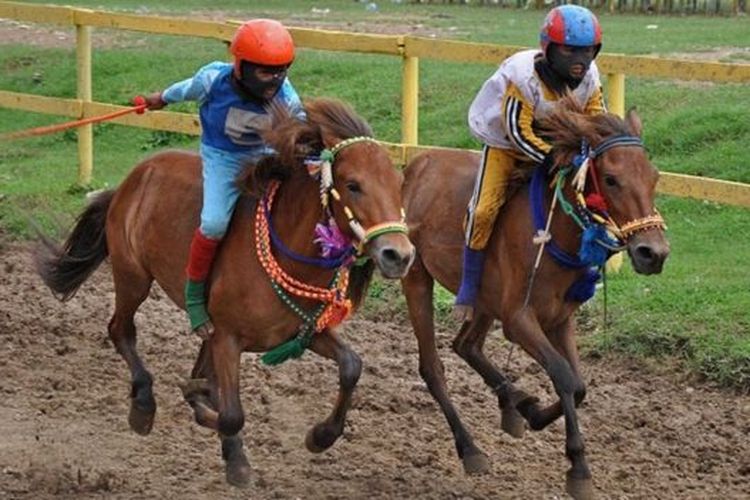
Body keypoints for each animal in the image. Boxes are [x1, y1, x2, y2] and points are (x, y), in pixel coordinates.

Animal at [35, 98, 418, 488]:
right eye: (353, 184)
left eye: (398, 184)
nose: (399, 255)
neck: (286, 252)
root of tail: (130, 182)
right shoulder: (228, 338)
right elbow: (232, 414)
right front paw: (236, 459)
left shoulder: (304, 332)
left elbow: (351, 366)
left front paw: (321, 435)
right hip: (132, 277)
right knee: (120, 330)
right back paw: (143, 405)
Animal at [402, 95, 672, 498]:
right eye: (611, 179)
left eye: (653, 177)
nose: (653, 253)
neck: (553, 230)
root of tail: (416, 164)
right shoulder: (519, 319)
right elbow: (564, 376)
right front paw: (578, 468)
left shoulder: (560, 319)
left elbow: (579, 385)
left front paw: (532, 411)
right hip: (417, 278)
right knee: (433, 368)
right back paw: (471, 448)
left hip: (484, 299)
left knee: (466, 345)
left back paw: (513, 404)